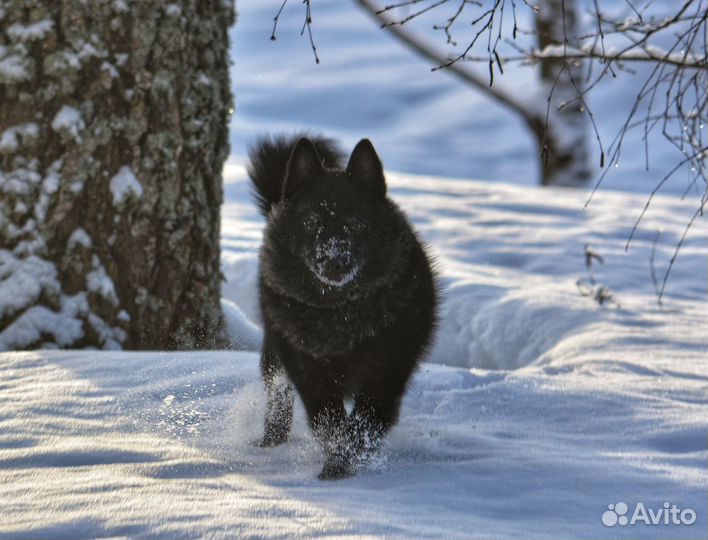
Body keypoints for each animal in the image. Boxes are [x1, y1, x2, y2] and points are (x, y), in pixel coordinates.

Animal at [249, 135, 436, 480]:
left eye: (357, 224)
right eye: (310, 222)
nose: (335, 262)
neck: (340, 315)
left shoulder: (385, 375)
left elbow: (365, 423)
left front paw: (347, 462)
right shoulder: (311, 374)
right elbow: (329, 423)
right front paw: (336, 466)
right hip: (274, 353)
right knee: (277, 396)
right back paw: (270, 443)